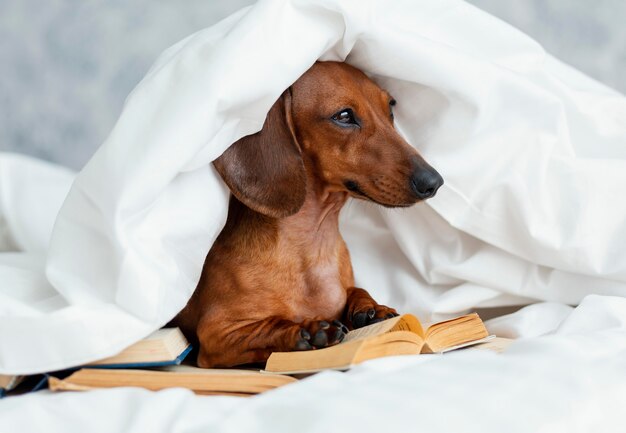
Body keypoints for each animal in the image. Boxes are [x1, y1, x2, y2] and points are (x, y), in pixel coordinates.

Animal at [171, 60, 442, 366]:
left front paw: (371, 309)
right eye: (344, 115)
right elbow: (268, 327)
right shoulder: (217, 336)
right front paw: (307, 330)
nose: (433, 182)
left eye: (391, 109)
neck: (312, 245)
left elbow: (357, 290)